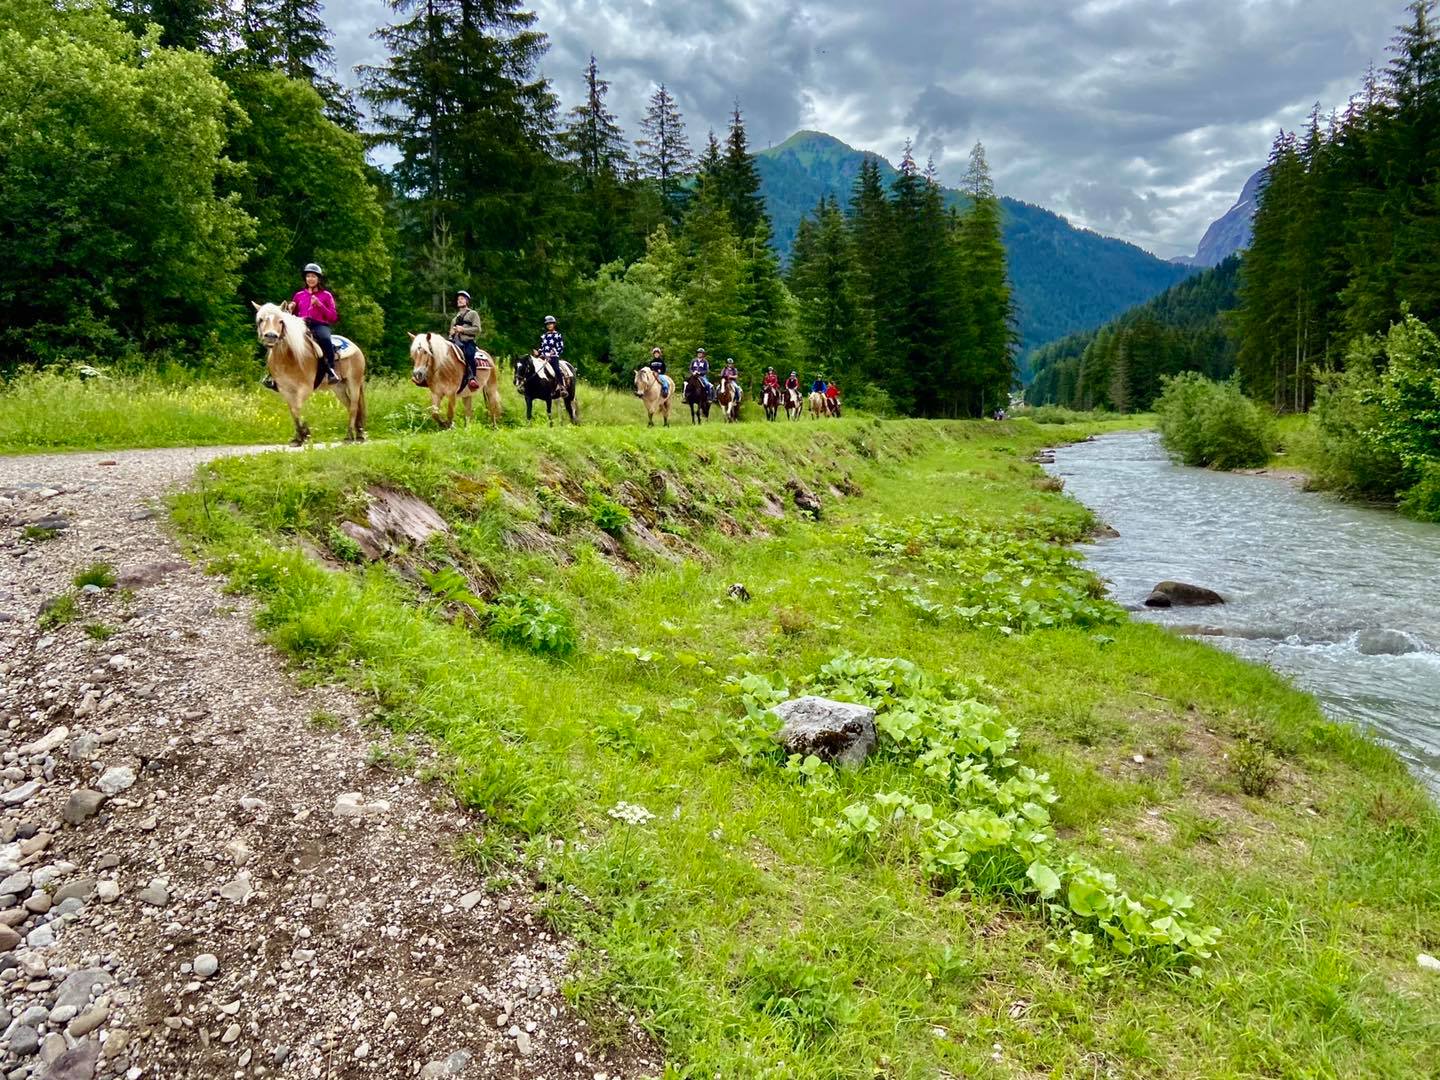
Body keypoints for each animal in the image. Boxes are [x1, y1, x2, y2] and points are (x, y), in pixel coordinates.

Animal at [247, 300, 362, 443]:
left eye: (281, 321)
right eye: (261, 320)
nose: (271, 336)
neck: (288, 357)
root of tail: (355, 346)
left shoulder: (305, 388)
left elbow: (297, 407)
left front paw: (305, 433)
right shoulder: (285, 390)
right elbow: (293, 411)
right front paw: (298, 437)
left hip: (354, 383)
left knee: (354, 407)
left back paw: (350, 436)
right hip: (339, 387)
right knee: (349, 405)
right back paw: (357, 434)